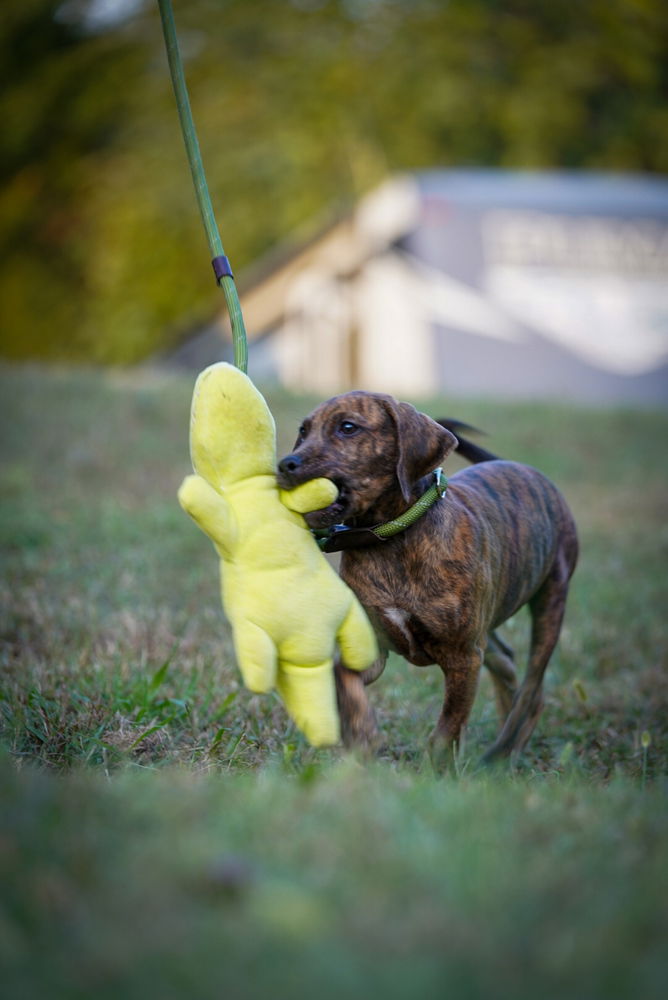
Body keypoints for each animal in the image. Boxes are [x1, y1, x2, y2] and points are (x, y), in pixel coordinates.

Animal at [278, 392, 580, 764]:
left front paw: (439, 768)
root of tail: (516, 465)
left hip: (551, 600)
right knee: (505, 661)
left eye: (347, 428)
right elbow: (341, 677)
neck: (391, 538)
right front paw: (362, 735)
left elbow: (448, 727)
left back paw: (504, 752)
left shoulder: (463, 657)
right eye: (303, 432)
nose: (286, 464)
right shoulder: (371, 646)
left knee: (532, 689)